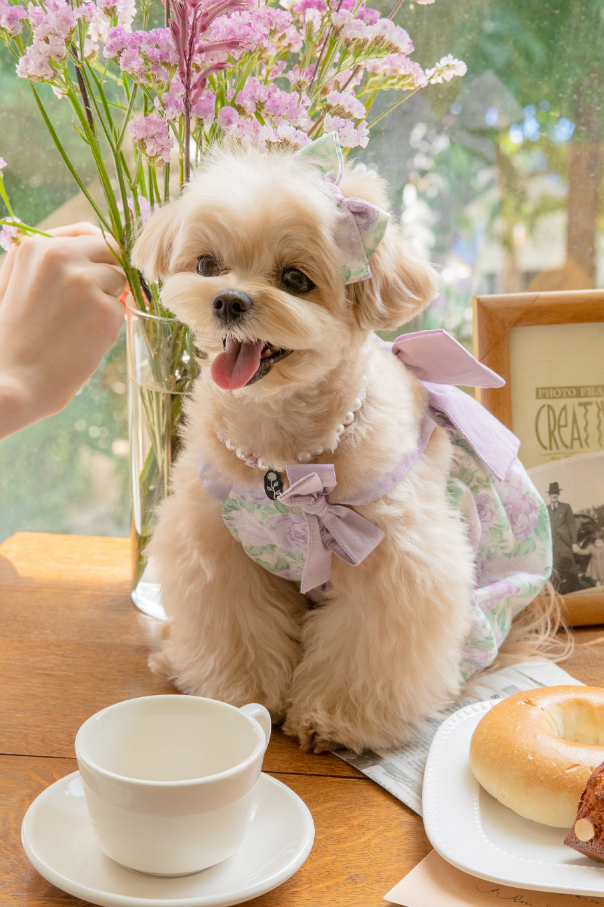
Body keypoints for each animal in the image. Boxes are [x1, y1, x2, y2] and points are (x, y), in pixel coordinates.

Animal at [132, 138, 552, 756]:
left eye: (295, 278)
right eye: (207, 264)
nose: (228, 300)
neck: (284, 460)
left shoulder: (394, 564)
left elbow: (367, 646)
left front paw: (330, 720)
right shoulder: (217, 546)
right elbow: (235, 629)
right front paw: (239, 695)